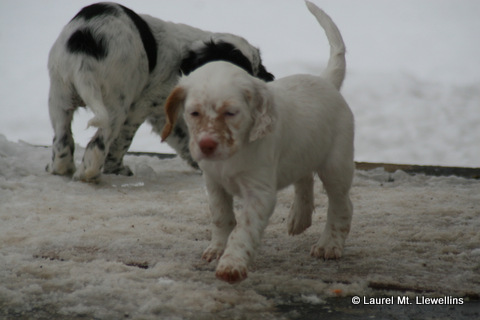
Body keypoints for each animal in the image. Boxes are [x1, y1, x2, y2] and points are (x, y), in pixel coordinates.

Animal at [48, 2, 274, 181]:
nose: (267, 81)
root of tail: (84, 46)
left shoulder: (162, 112)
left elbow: (183, 137)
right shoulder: (139, 108)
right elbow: (122, 141)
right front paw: (116, 169)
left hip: (59, 95)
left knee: (62, 140)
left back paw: (62, 169)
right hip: (115, 104)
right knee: (98, 144)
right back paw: (88, 175)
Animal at [161, 1, 352, 284]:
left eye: (231, 112)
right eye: (194, 112)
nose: (206, 145)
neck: (233, 154)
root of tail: (326, 81)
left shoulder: (259, 192)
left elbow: (244, 228)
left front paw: (231, 265)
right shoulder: (213, 182)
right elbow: (221, 217)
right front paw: (216, 249)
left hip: (336, 165)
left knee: (342, 204)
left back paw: (329, 244)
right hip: (303, 151)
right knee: (304, 177)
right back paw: (299, 217)